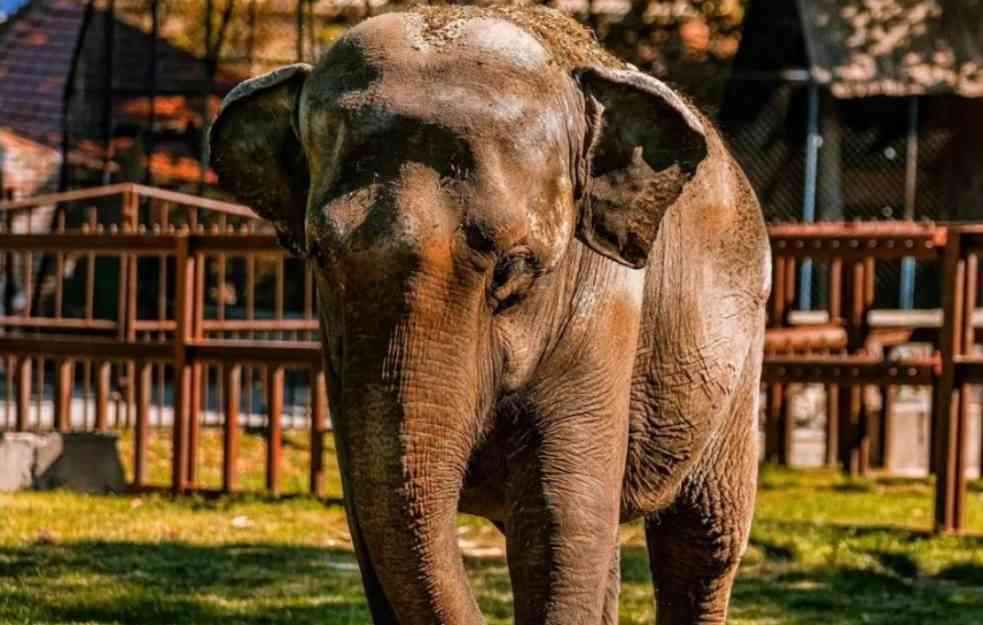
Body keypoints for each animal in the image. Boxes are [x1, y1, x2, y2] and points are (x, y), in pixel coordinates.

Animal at [211, 4, 772, 624]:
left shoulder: (604, 307)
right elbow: (369, 518)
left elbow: (559, 520)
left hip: (742, 357)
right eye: (318, 255)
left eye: (512, 269)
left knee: (701, 541)